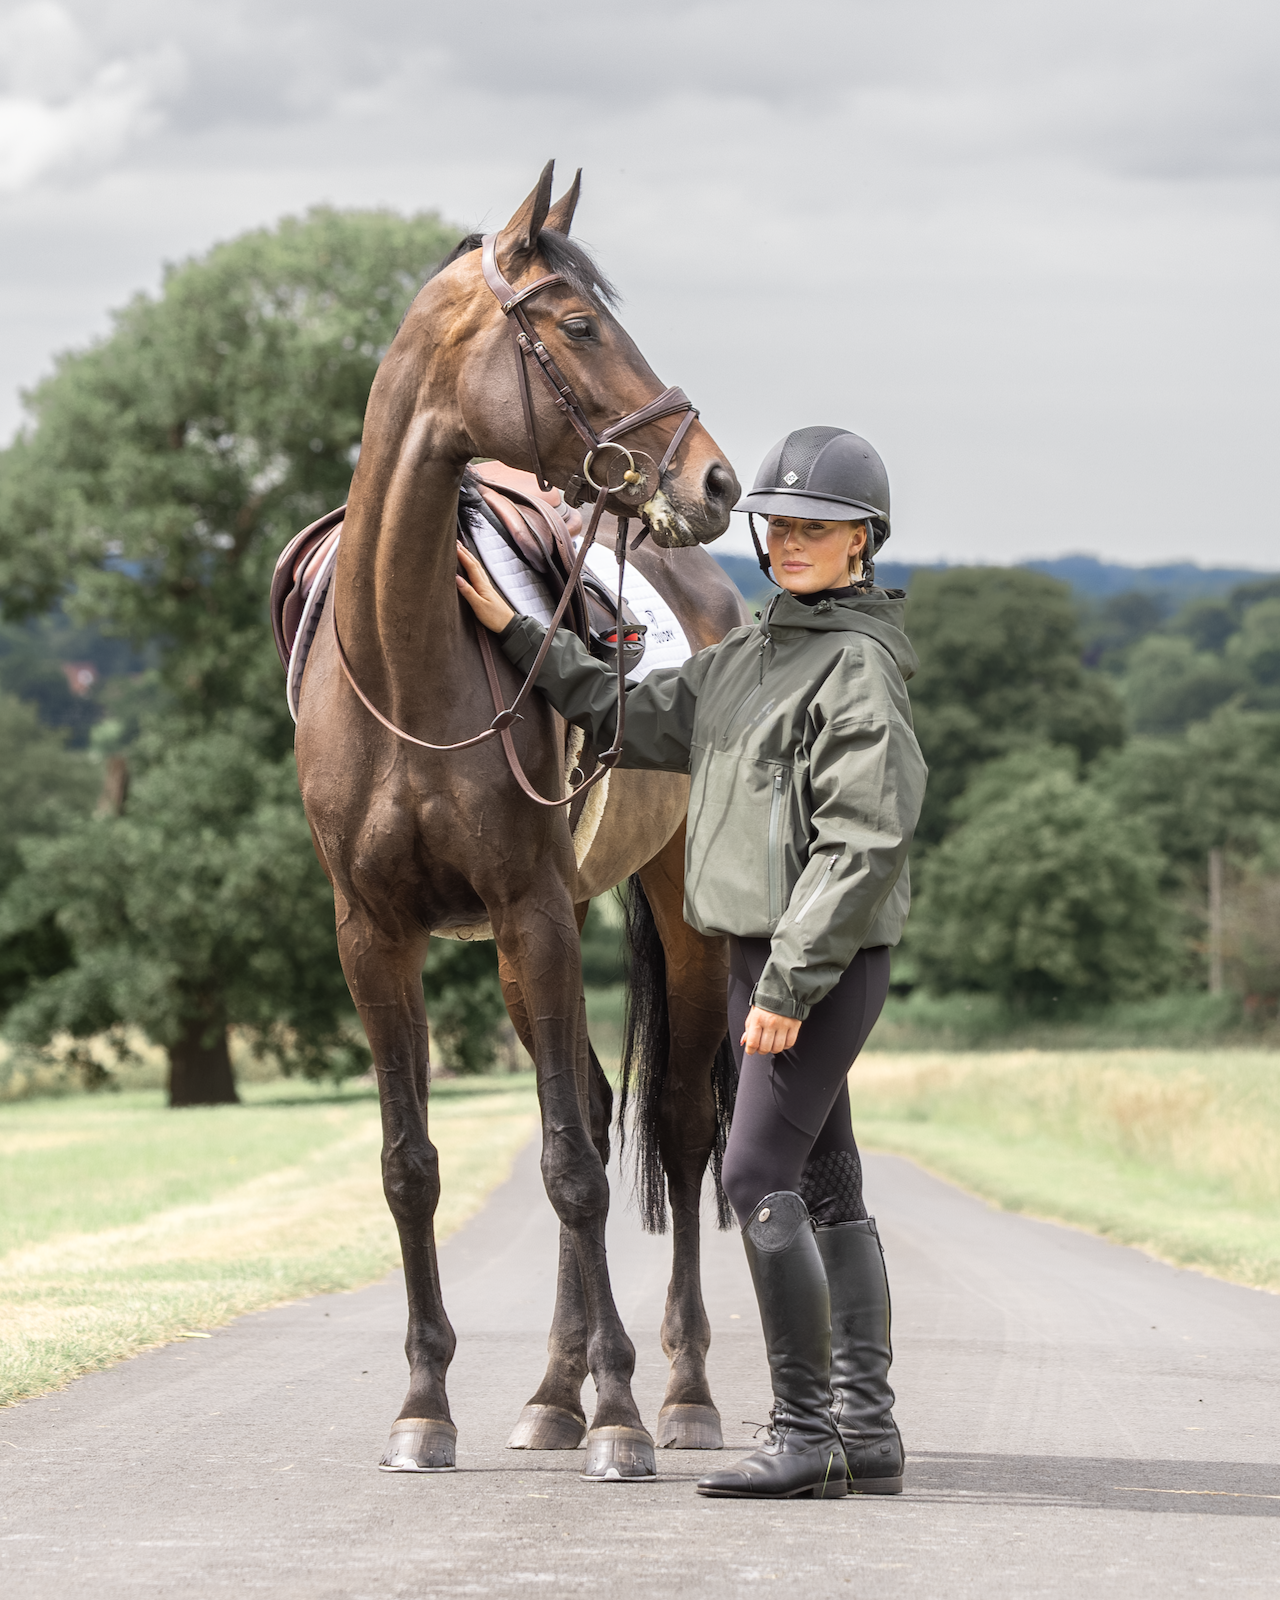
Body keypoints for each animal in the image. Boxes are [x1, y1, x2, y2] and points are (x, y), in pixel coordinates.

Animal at [293, 162, 746, 1481]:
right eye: (580, 325)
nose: (712, 479)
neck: (405, 664)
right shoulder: (374, 936)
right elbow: (410, 1166)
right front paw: (423, 1407)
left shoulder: (532, 912)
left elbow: (573, 1170)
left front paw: (623, 1417)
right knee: (591, 1107)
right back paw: (550, 1393)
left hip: (672, 920)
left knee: (677, 1126)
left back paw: (676, 1392)